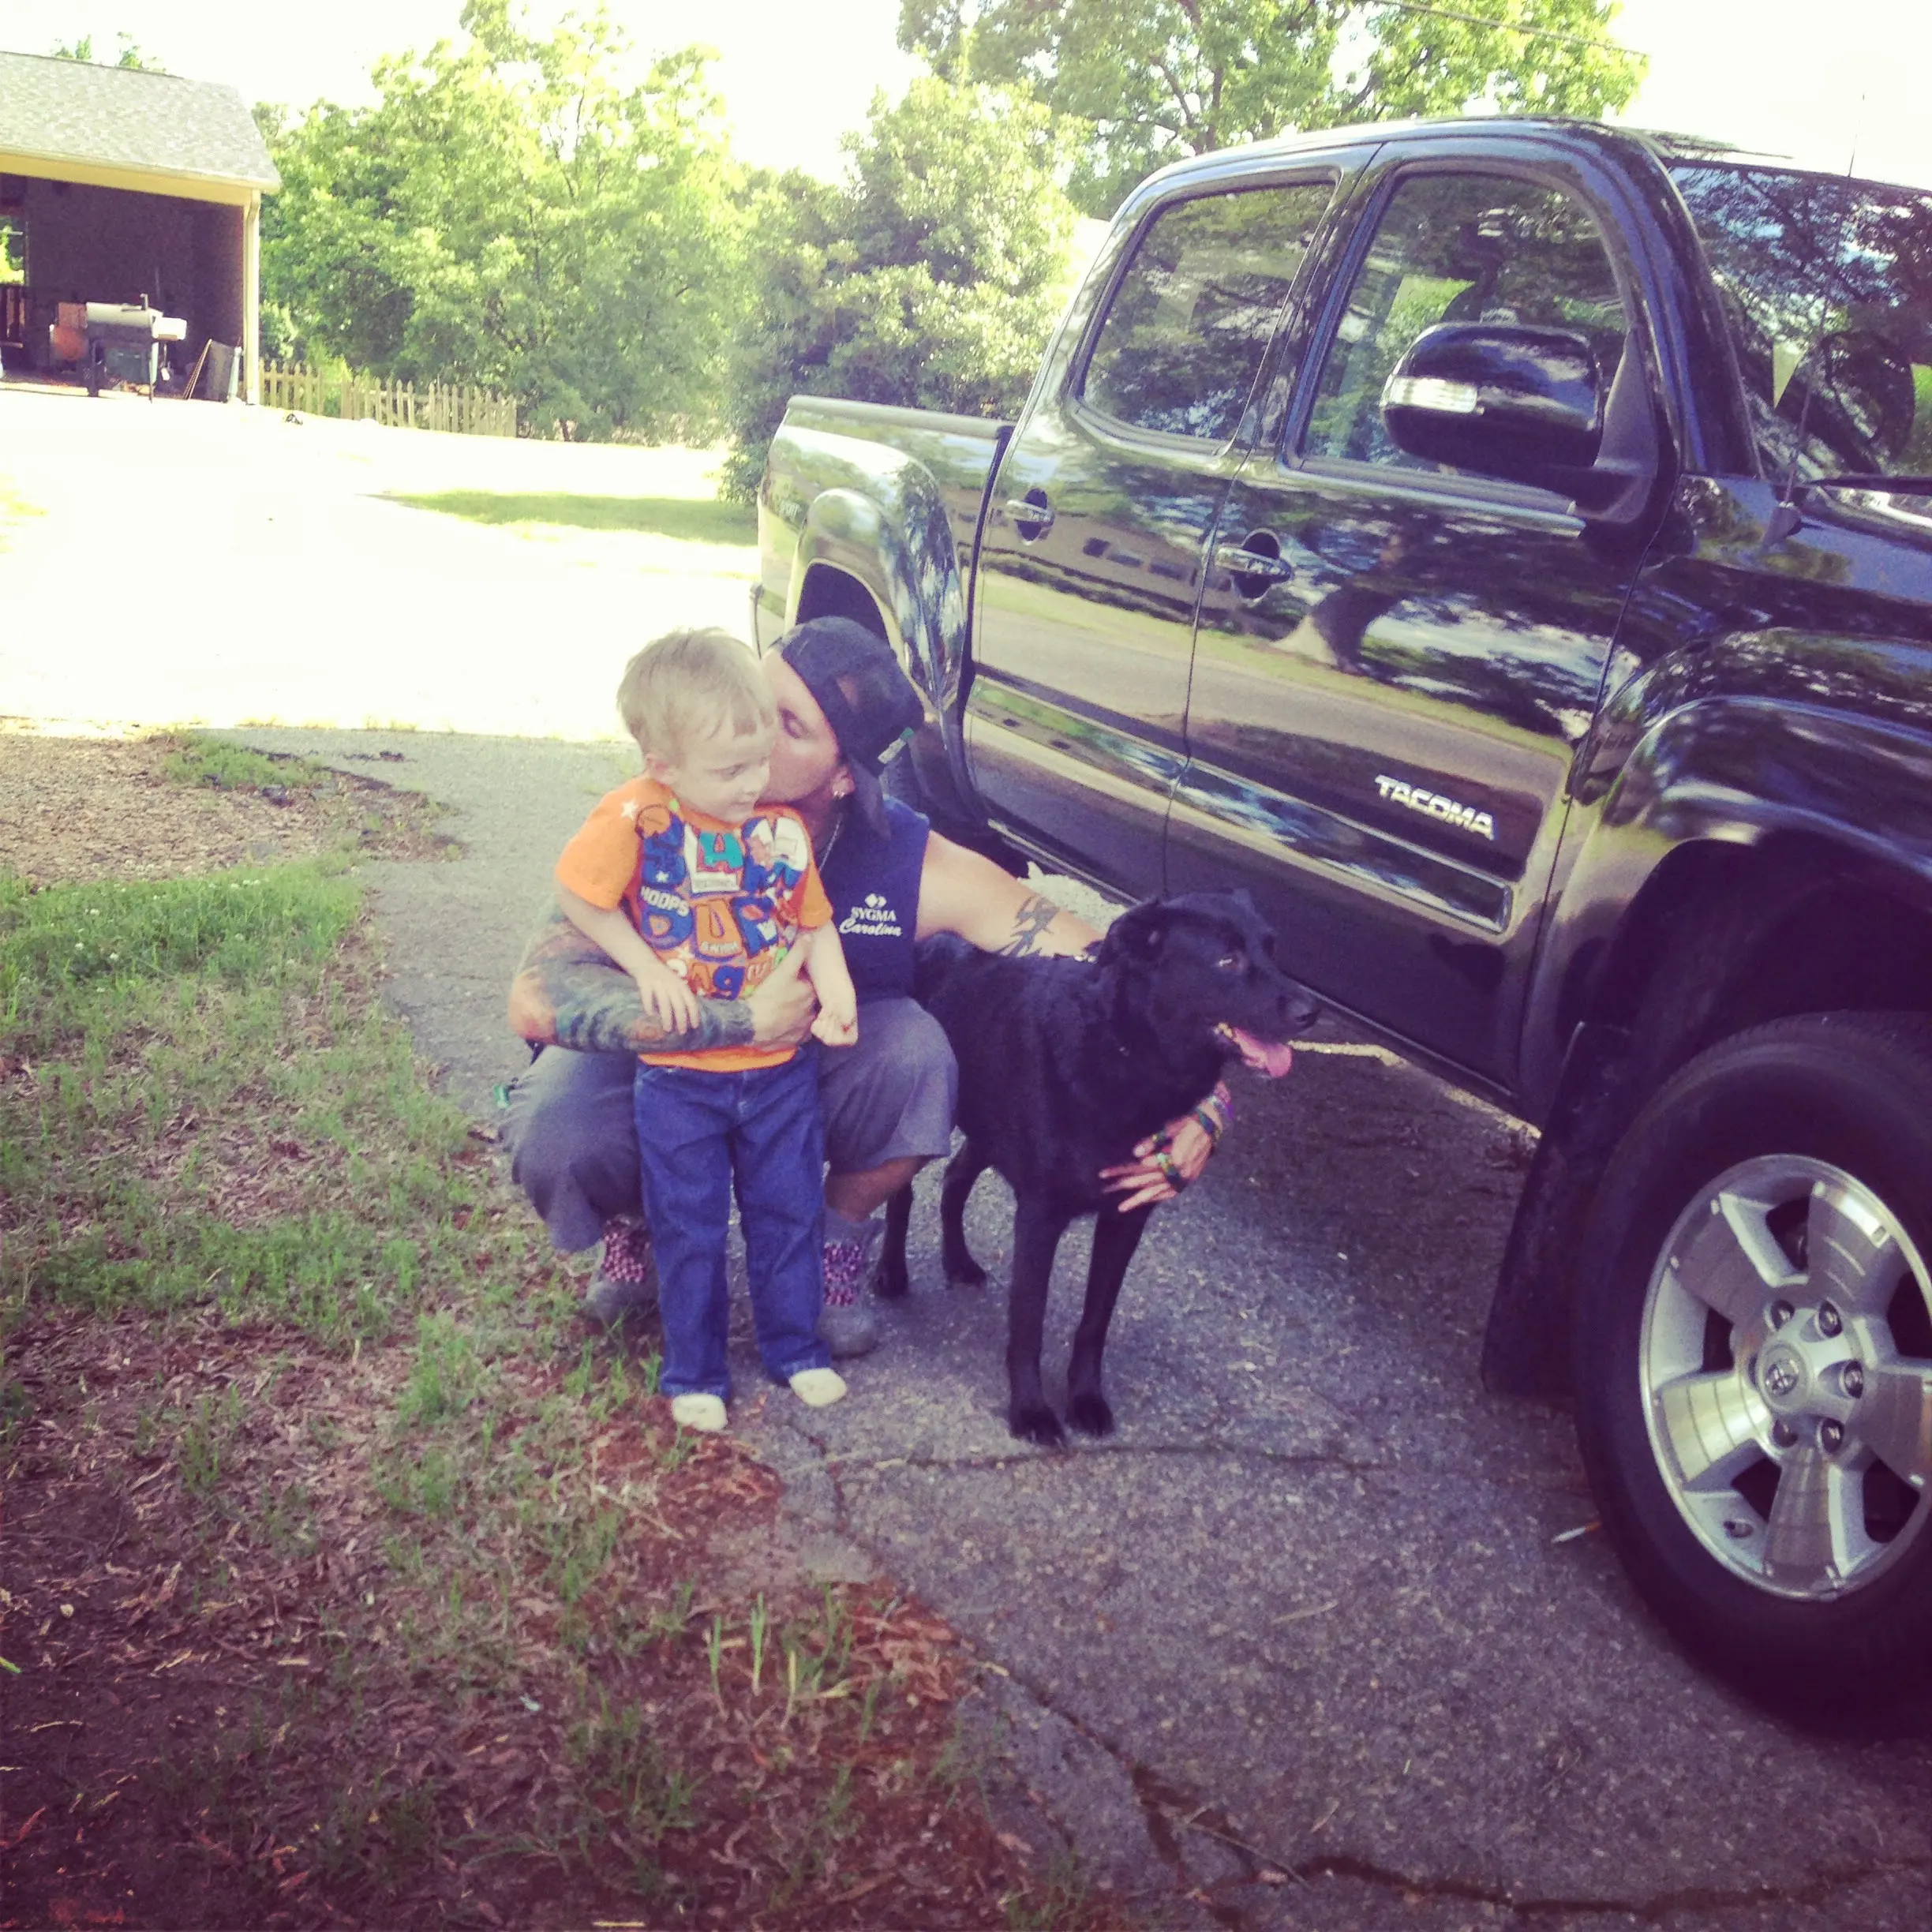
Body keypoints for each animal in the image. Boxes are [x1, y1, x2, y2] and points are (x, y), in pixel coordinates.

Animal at [885, 885, 1321, 1437]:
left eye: (1272, 949)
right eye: (1228, 960)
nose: (1312, 1012)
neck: (1128, 1050)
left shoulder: (1126, 1219)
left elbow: (1096, 1321)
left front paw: (1085, 1399)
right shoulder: (1040, 1218)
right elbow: (1028, 1323)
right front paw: (1030, 1410)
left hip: (987, 1127)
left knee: (955, 1179)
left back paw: (958, 1261)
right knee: (904, 1193)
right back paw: (890, 1272)